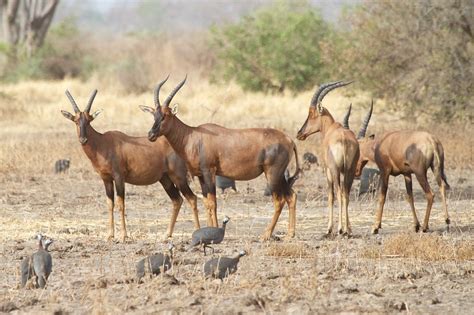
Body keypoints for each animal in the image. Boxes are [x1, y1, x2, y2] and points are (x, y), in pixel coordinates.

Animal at [59, 87, 200, 243]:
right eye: (75, 120)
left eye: (89, 120)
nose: (83, 139)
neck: (103, 143)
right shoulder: (106, 179)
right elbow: (110, 204)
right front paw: (110, 235)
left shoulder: (119, 177)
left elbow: (121, 204)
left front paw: (123, 236)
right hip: (165, 179)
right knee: (177, 200)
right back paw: (167, 234)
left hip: (178, 177)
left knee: (192, 198)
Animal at [139, 76, 300, 239]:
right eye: (154, 115)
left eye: (165, 115)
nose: (151, 135)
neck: (193, 136)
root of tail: (289, 140)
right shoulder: (201, 176)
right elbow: (207, 202)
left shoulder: (209, 171)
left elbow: (213, 202)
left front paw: (215, 229)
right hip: (280, 175)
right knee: (291, 196)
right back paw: (290, 234)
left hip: (272, 174)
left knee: (279, 200)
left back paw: (265, 235)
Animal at [296, 80, 360, 236]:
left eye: (311, 113)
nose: (300, 133)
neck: (332, 128)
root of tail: (343, 138)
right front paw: (348, 228)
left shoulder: (327, 171)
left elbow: (330, 196)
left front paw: (329, 228)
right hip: (350, 170)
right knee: (346, 193)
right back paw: (347, 230)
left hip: (335, 170)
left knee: (338, 193)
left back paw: (340, 229)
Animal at [350, 102, 450, 233]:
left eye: (357, 149)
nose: (356, 172)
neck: (381, 143)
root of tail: (431, 141)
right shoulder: (407, 174)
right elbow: (409, 196)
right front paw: (415, 225)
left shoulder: (385, 172)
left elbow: (382, 196)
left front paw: (375, 227)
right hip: (436, 169)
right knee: (442, 187)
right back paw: (446, 221)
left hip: (420, 173)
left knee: (430, 194)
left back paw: (425, 227)